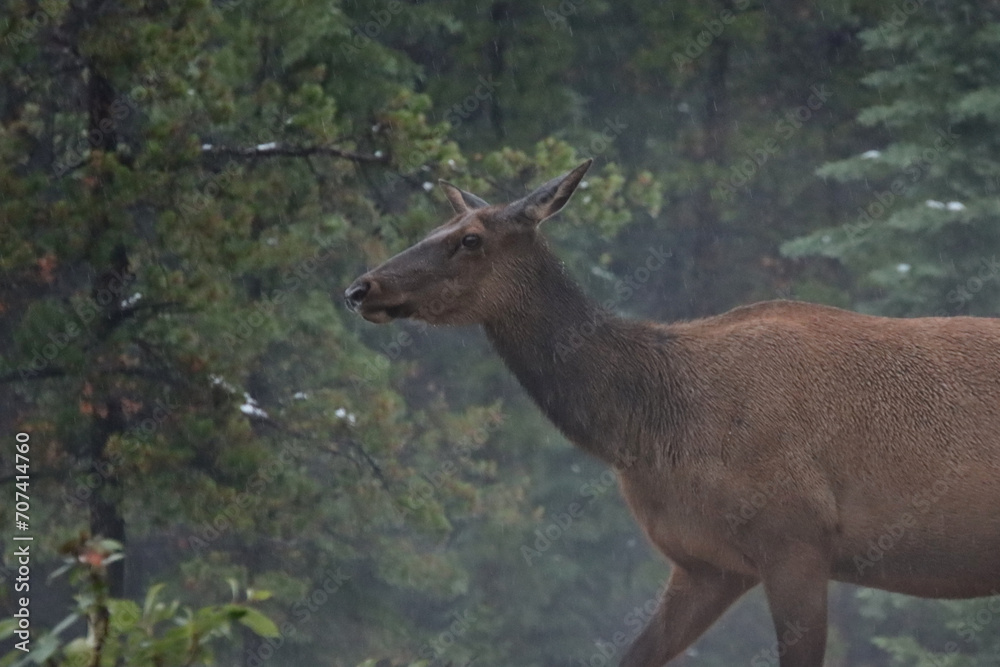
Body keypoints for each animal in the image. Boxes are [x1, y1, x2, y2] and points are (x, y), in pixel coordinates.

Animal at [344, 159, 1000, 667]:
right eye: (439, 226)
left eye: (471, 238)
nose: (360, 288)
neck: (653, 428)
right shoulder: (707, 562)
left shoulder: (797, 536)